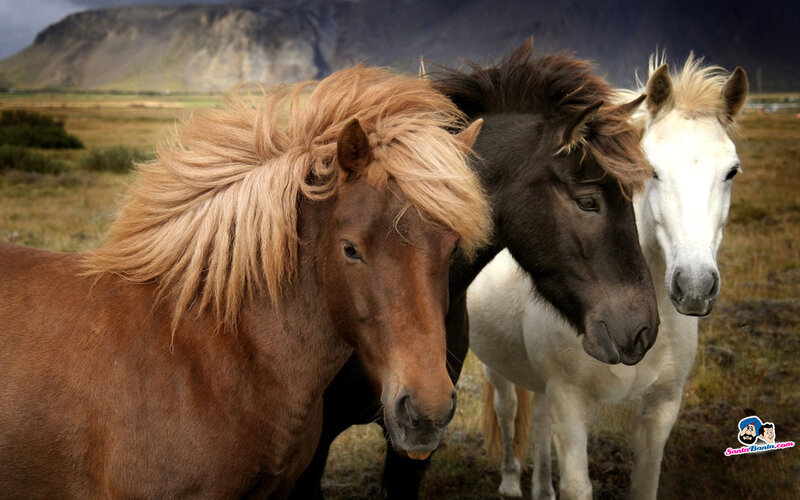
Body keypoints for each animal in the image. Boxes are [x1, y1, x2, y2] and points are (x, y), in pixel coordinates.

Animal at [471, 55, 748, 499]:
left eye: (732, 172)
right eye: (652, 170)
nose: (694, 286)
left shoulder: (662, 407)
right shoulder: (570, 401)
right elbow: (576, 486)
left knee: (540, 418)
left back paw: (541, 488)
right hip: (495, 366)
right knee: (508, 408)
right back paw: (511, 482)